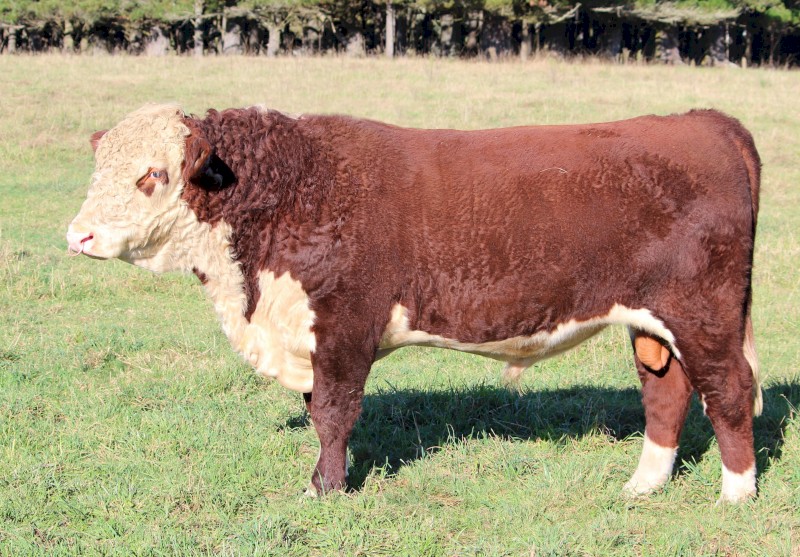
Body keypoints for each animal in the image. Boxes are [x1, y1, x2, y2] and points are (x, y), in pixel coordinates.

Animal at [67, 103, 762, 502]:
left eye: (151, 174)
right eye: (99, 168)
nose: (78, 236)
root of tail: (702, 119)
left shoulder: (345, 325)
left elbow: (333, 414)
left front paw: (326, 491)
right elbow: (319, 410)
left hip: (704, 312)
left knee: (729, 388)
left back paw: (736, 494)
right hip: (653, 322)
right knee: (666, 392)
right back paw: (643, 485)